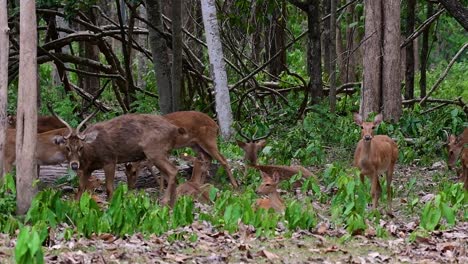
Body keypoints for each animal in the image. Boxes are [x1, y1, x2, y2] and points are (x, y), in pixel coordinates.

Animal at [49, 106, 190, 207]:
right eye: (67, 147)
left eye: (80, 147)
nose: (74, 165)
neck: (91, 154)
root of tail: (175, 129)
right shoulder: (88, 168)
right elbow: (80, 189)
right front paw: (75, 208)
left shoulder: (110, 159)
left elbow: (109, 188)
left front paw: (111, 207)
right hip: (163, 152)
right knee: (170, 173)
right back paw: (173, 204)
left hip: (155, 151)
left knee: (173, 170)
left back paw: (164, 202)